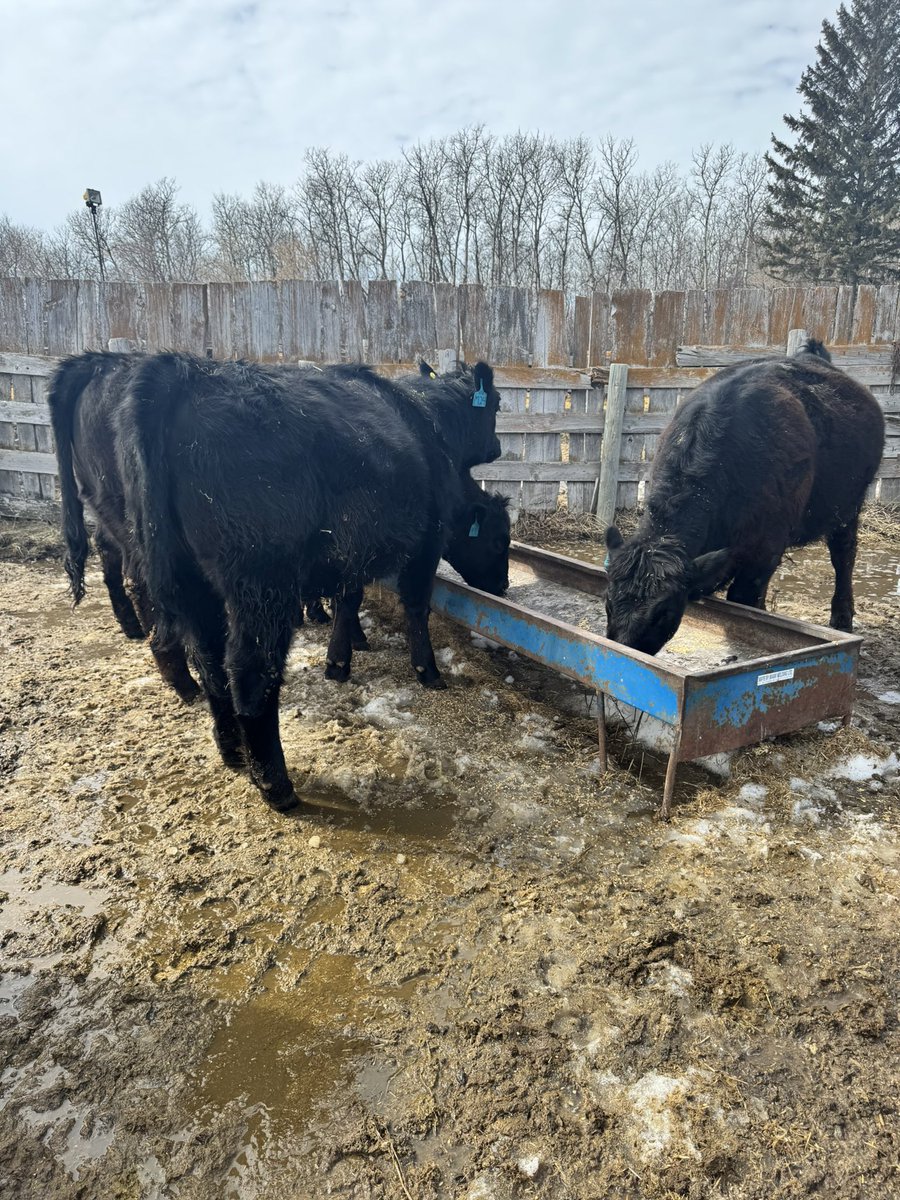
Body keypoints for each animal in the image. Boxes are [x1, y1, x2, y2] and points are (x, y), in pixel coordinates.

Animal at [116, 352, 502, 810]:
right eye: (501, 538)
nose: (502, 587)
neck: (430, 425)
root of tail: (182, 370)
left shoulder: (353, 549)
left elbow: (348, 600)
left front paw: (338, 662)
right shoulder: (428, 540)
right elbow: (415, 605)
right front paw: (427, 671)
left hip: (188, 580)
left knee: (210, 662)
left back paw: (232, 752)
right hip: (262, 582)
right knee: (250, 671)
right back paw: (276, 786)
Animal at [604, 340, 885, 656]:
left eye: (662, 612)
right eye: (608, 602)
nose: (622, 649)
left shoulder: (765, 550)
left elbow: (745, 602)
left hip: (848, 508)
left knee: (844, 556)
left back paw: (842, 618)